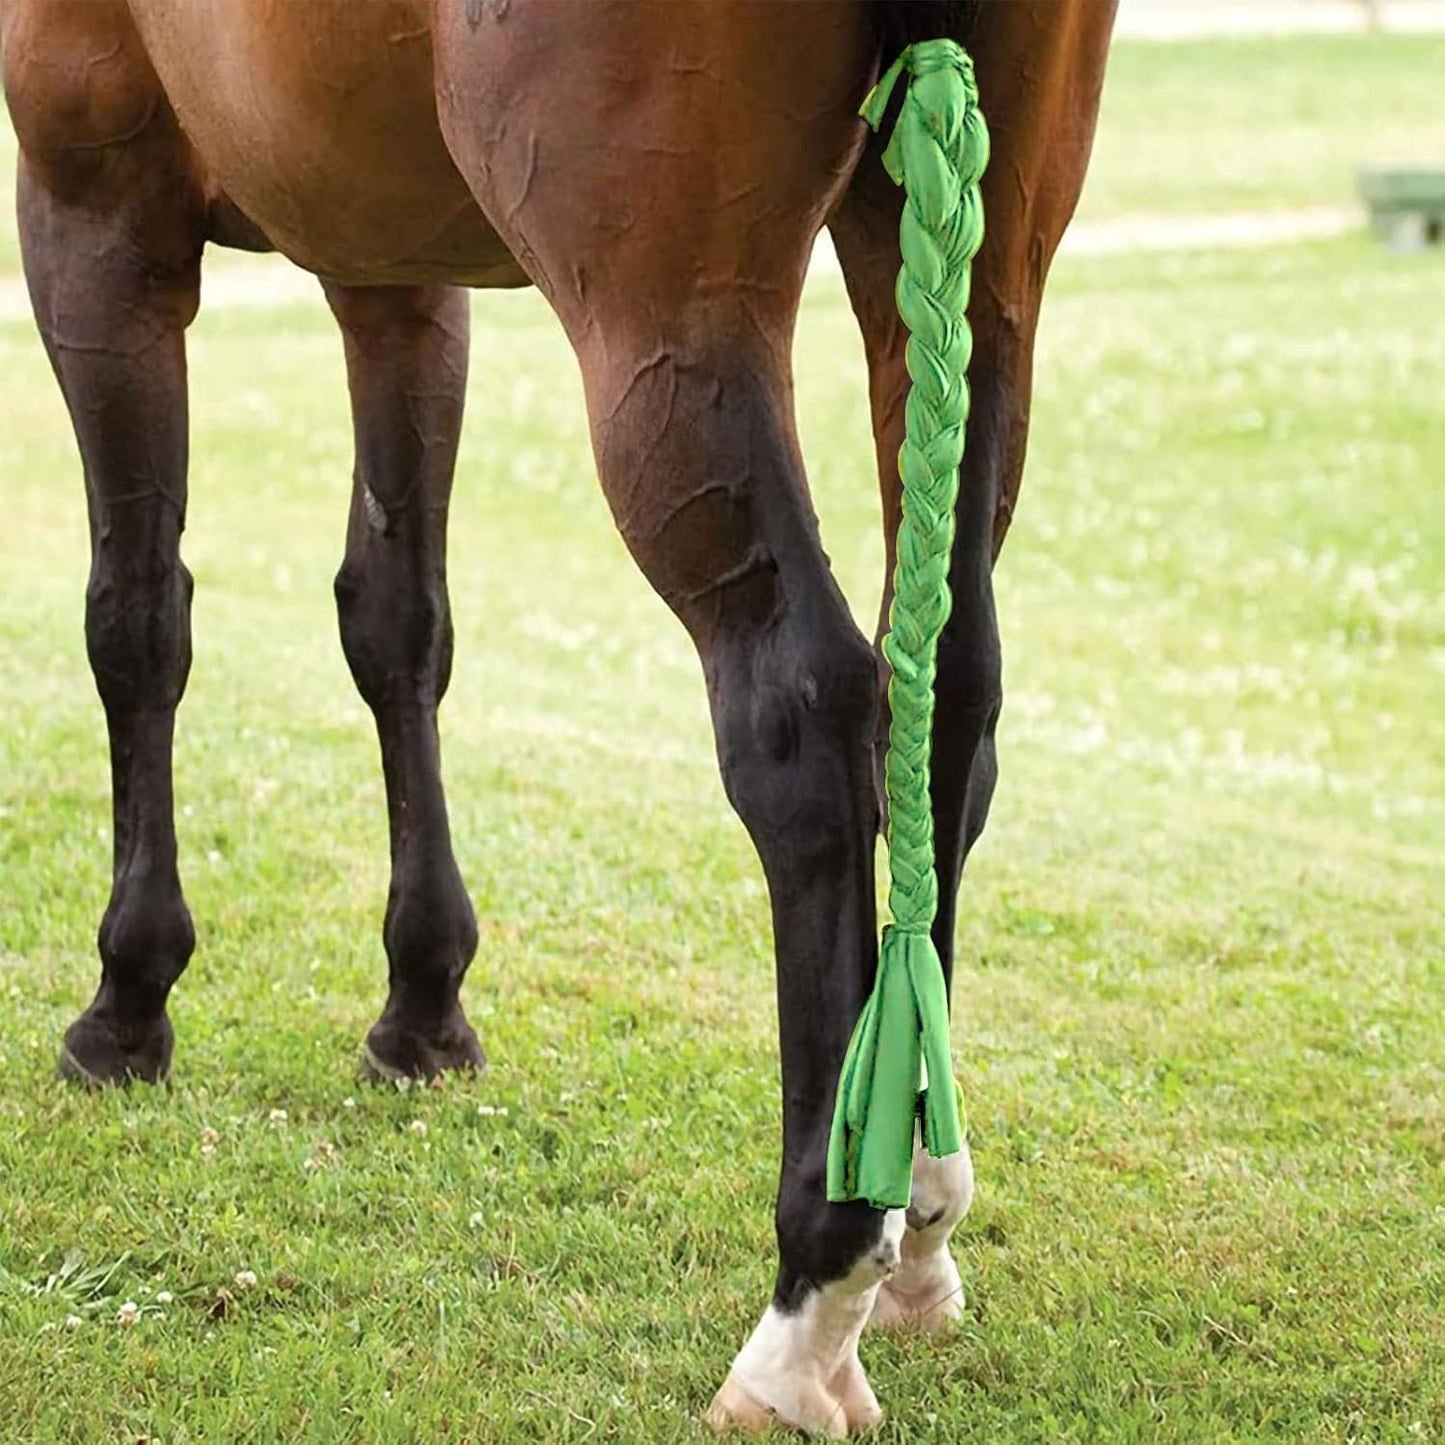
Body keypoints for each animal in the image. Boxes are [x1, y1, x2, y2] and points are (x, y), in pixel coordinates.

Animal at [1, 0, 1115, 1433]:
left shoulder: (95, 206)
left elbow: (136, 619)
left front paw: (129, 998)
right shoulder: (393, 266)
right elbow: (396, 620)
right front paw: (423, 1003)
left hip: (664, 321)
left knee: (805, 712)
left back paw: (808, 1303)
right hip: (978, 281)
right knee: (946, 701)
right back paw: (914, 1216)